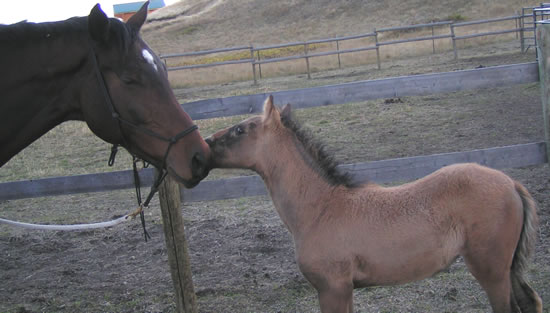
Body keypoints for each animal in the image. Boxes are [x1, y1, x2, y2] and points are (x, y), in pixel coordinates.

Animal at [206, 95, 544, 312]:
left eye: (239, 129)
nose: (206, 144)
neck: (320, 207)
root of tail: (511, 183)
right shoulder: (344, 290)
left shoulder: (333, 288)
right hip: (508, 267)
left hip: (491, 268)